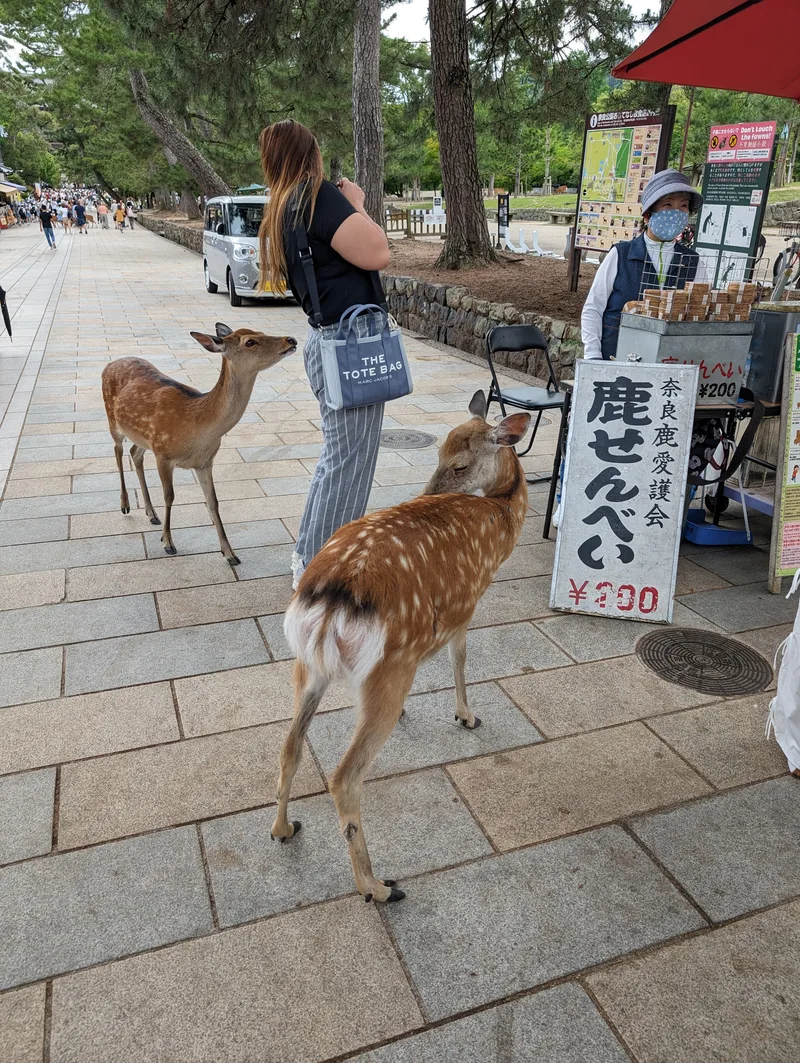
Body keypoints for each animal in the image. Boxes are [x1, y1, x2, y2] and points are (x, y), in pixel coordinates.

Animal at [101, 323, 297, 564]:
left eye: (260, 332)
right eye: (250, 342)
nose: (291, 340)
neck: (197, 426)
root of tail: (110, 363)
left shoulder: (204, 462)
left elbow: (213, 501)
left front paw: (229, 553)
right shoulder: (163, 454)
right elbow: (169, 495)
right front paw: (167, 543)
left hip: (143, 437)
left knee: (134, 453)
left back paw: (151, 513)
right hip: (113, 421)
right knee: (118, 450)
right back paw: (126, 505)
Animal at [270, 392, 531, 903]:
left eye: (458, 463)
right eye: (440, 456)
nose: (426, 492)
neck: (503, 517)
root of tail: (331, 599)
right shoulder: (465, 605)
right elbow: (460, 659)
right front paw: (466, 715)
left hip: (308, 665)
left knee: (290, 746)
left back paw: (283, 828)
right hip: (389, 664)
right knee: (344, 776)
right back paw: (377, 886)